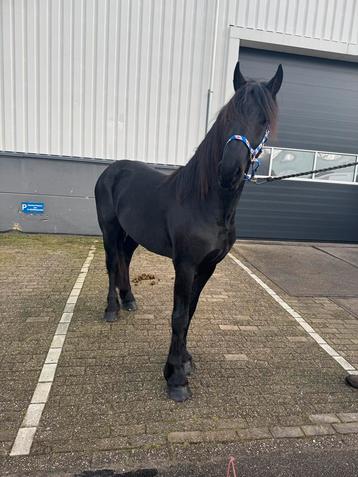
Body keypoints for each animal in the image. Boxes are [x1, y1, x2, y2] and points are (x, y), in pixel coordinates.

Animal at [94, 61, 282, 400]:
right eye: (228, 116)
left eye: (264, 121)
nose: (229, 171)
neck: (205, 202)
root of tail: (111, 170)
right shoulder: (185, 265)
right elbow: (179, 316)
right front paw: (176, 378)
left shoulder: (208, 266)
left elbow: (191, 311)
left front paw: (184, 360)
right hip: (109, 230)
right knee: (112, 264)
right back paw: (112, 309)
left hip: (133, 235)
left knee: (125, 259)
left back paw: (129, 300)